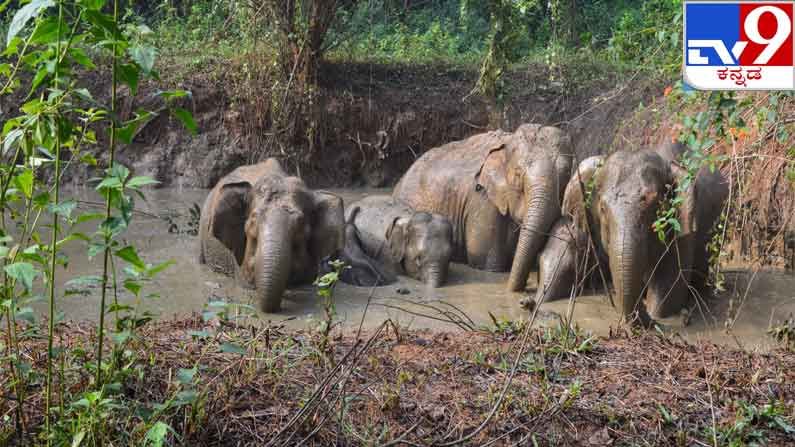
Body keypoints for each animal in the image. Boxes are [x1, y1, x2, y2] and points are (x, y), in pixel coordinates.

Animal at [392, 122, 572, 292]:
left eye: (565, 177)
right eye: (518, 175)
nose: (522, 291)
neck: (508, 142)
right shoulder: (483, 200)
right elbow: (487, 262)